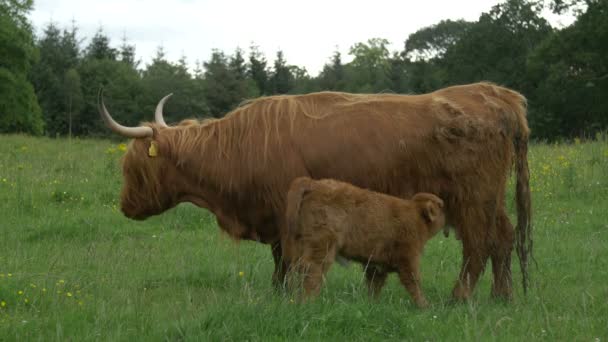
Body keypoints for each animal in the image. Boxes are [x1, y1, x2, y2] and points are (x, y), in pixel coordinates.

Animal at [100, 81, 532, 300]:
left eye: (133, 166)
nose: (124, 206)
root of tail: (495, 94)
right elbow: (281, 260)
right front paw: (279, 293)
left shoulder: (283, 211)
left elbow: (286, 259)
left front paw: (284, 294)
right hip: (490, 197)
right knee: (503, 238)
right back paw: (502, 297)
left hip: (472, 197)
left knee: (478, 245)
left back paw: (460, 298)